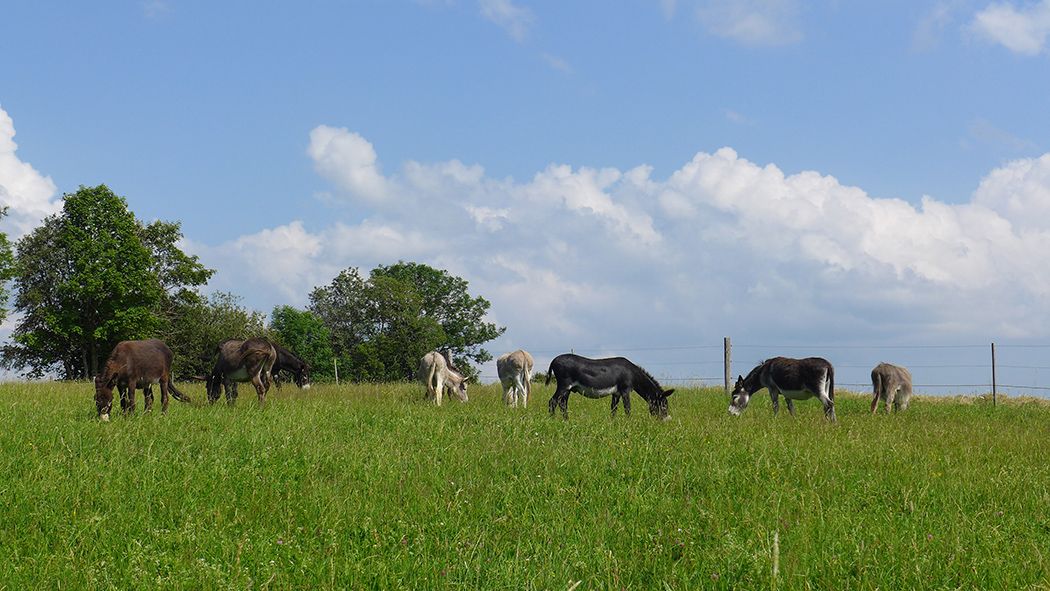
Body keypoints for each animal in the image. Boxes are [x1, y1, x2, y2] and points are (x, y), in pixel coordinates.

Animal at [544, 353, 674, 420]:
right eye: (663, 404)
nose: (666, 420)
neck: (633, 373)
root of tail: (554, 360)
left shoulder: (616, 393)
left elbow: (613, 409)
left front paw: (613, 423)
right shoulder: (625, 390)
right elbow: (627, 408)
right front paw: (629, 423)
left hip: (568, 389)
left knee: (562, 403)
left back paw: (566, 420)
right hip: (564, 385)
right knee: (552, 401)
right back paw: (552, 420)